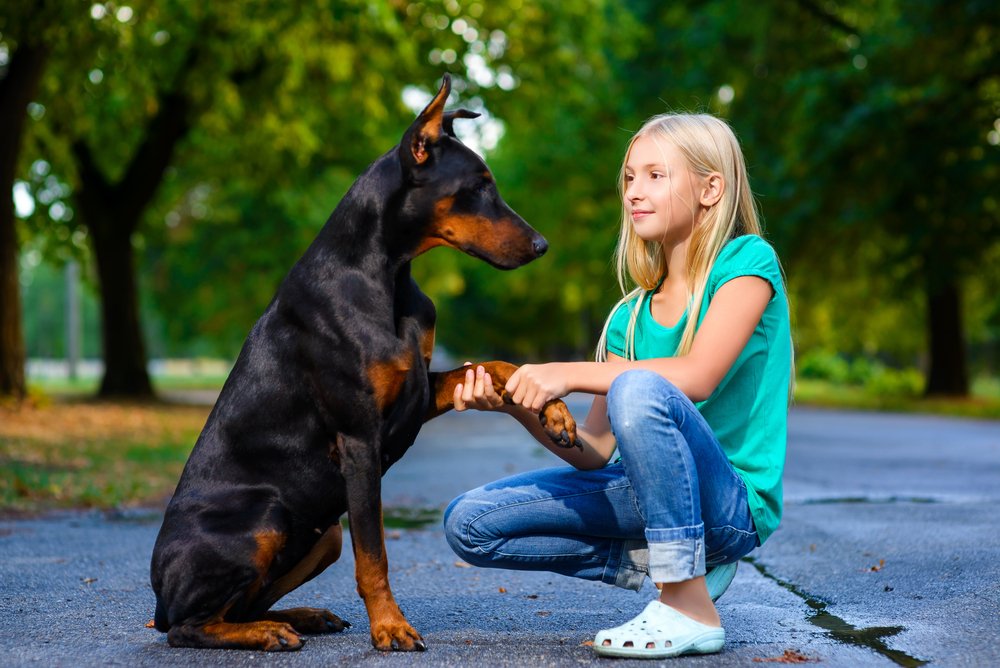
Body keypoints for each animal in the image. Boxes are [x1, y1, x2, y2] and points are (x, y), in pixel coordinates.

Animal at [148, 74, 580, 652]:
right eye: (480, 185)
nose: (542, 244)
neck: (387, 273)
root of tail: (158, 596)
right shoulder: (358, 437)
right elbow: (374, 554)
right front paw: (391, 627)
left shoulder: (415, 391)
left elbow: (495, 365)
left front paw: (555, 412)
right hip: (265, 517)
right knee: (188, 627)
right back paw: (267, 632)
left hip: (324, 532)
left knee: (243, 602)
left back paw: (301, 616)